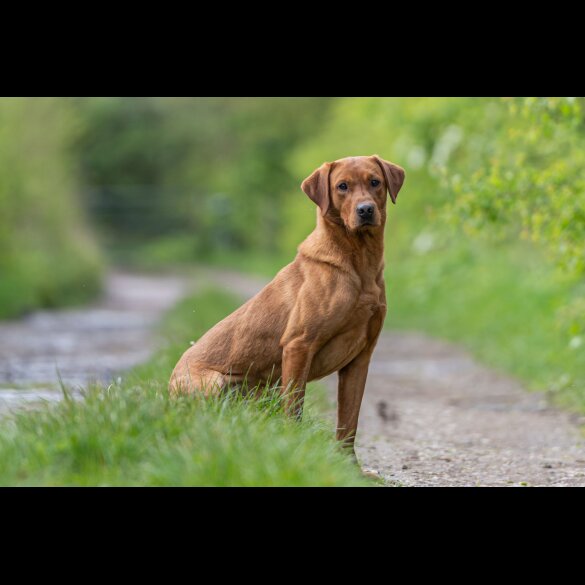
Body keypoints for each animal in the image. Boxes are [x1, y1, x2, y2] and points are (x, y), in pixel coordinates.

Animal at [169, 154, 404, 456]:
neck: (360, 263)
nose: (365, 210)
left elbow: (348, 422)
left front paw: (348, 464)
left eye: (375, 182)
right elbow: (294, 410)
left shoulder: (361, 357)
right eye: (342, 186)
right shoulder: (298, 345)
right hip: (215, 383)